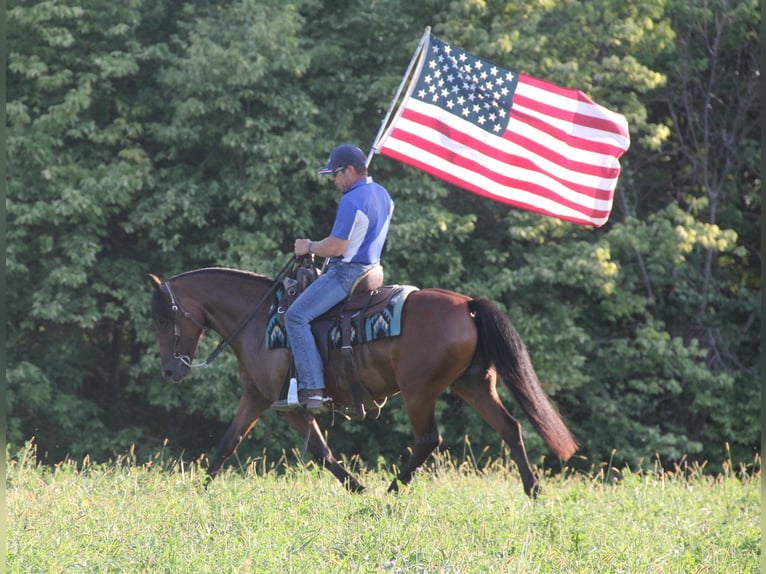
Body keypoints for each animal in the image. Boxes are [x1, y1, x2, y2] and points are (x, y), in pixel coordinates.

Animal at [146, 264, 576, 498]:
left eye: (164, 318)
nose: (170, 370)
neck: (259, 320)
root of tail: (467, 305)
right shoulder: (255, 396)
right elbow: (226, 445)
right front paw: (198, 490)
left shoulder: (289, 405)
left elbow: (321, 452)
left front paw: (358, 489)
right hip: (473, 384)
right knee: (510, 427)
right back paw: (533, 490)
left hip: (419, 391)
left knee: (428, 439)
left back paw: (391, 492)